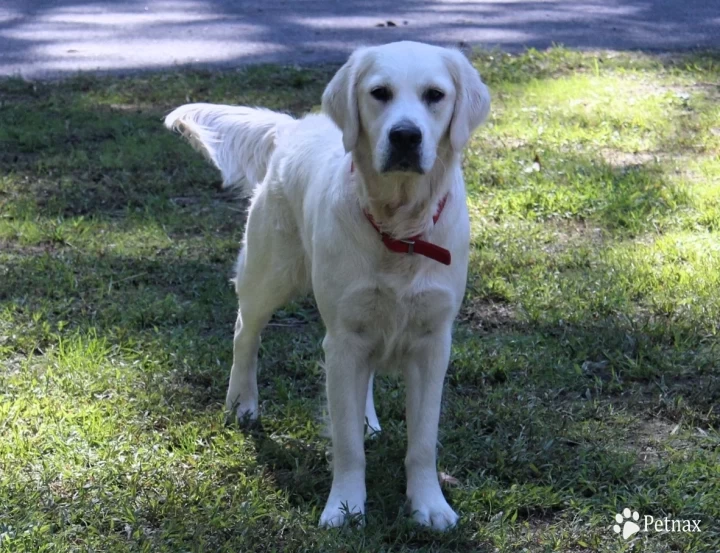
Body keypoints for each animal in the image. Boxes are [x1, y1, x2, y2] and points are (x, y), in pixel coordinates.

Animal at [165, 41, 490, 528]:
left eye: (435, 95)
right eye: (379, 93)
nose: (405, 136)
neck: (398, 229)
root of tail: (294, 126)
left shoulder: (433, 342)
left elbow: (423, 441)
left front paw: (429, 505)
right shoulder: (342, 339)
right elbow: (346, 444)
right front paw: (345, 507)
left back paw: (368, 420)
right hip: (269, 273)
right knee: (245, 331)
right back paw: (241, 404)